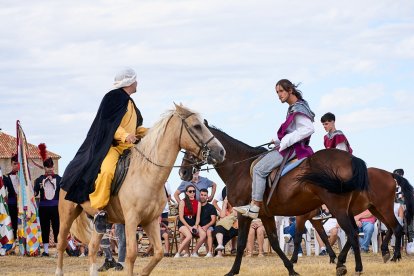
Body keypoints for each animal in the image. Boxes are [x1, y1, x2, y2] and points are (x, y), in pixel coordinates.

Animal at [55, 104, 226, 276]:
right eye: (197, 126)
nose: (221, 151)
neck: (146, 173)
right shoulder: (131, 220)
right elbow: (131, 254)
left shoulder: (151, 221)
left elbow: (158, 253)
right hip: (67, 215)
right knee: (61, 243)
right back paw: (58, 271)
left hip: (100, 223)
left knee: (92, 248)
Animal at [180, 122, 370, 276]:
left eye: (191, 144)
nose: (183, 171)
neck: (239, 167)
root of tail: (351, 159)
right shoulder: (266, 215)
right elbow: (274, 242)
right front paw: (291, 269)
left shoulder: (244, 214)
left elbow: (241, 243)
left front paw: (233, 271)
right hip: (345, 210)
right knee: (351, 231)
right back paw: (341, 263)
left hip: (337, 209)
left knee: (352, 233)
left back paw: (356, 268)